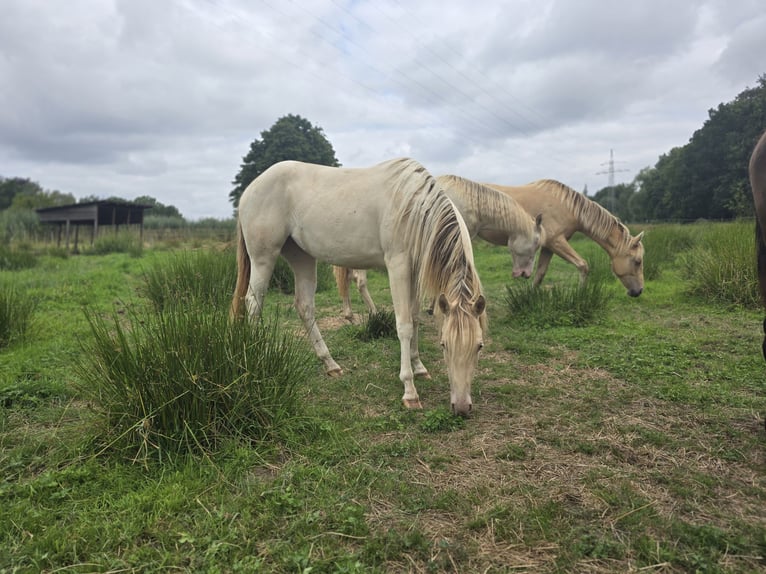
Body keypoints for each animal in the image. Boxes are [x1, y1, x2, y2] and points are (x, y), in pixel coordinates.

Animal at [231, 158, 487, 417]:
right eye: (444, 345)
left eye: (479, 346)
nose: (462, 407)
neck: (413, 207)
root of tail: (250, 189)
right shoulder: (398, 266)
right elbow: (404, 325)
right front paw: (410, 390)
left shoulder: (414, 271)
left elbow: (414, 319)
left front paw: (419, 367)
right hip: (263, 258)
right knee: (253, 303)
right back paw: (257, 359)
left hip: (302, 257)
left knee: (304, 306)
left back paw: (331, 364)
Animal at [333, 174, 544, 321]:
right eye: (535, 245)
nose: (525, 274)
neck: (470, 201)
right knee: (359, 280)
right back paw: (374, 312)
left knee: (348, 278)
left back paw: (349, 313)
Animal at [486, 179, 645, 297]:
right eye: (637, 262)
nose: (638, 291)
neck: (567, 206)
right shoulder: (556, 242)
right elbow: (583, 265)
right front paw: (581, 297)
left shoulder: (548, 247)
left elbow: (540, 274)